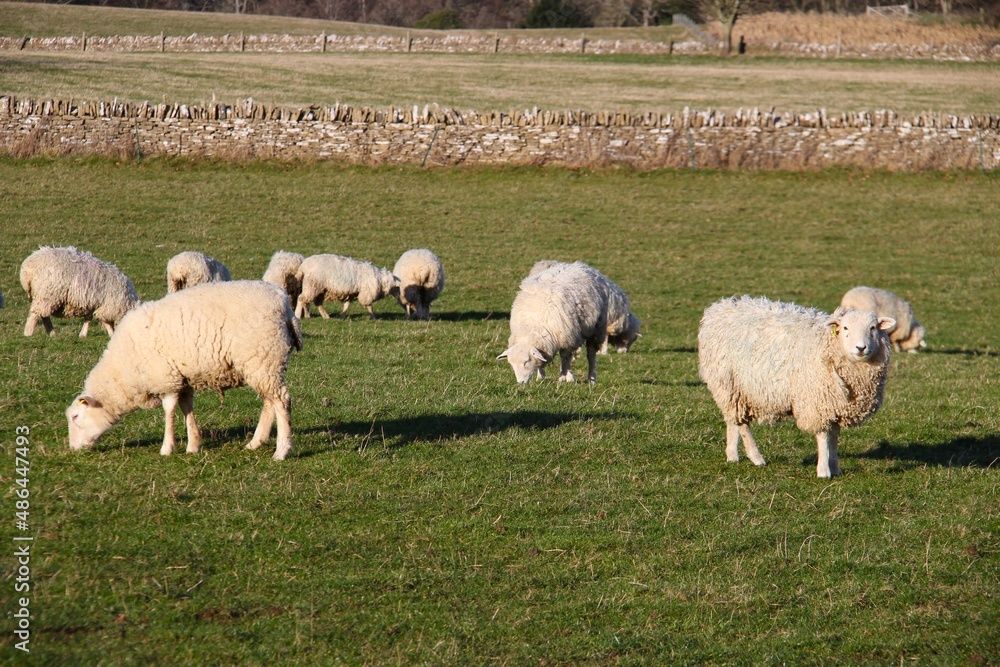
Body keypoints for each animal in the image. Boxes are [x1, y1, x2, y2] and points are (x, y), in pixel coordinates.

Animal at [66, 281, 303, 461]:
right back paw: (255, 443)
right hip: (264, 364)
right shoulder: (182, 379)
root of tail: (284, 304)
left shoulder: (165, 378)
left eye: (76, 417)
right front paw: (193, 444)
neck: (123, 371)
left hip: (264, 358)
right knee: (269, 403)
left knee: (282, 401)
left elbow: (169, 409)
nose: (72, 449)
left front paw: (167, 447)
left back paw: (281, 451)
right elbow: (186, 407)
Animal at [698, 296, 895, 478]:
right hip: (726, 382)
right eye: (845, 328)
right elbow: (823, 436)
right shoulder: (817, 401)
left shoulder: (836, 404)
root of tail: (720, 307)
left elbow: (834, 437)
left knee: (732, 420)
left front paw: (835, 467)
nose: (861, 348)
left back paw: (732, 455)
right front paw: (823, 471)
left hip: (734, 389)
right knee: (742, 425)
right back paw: (756, 457)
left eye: (873, 328)